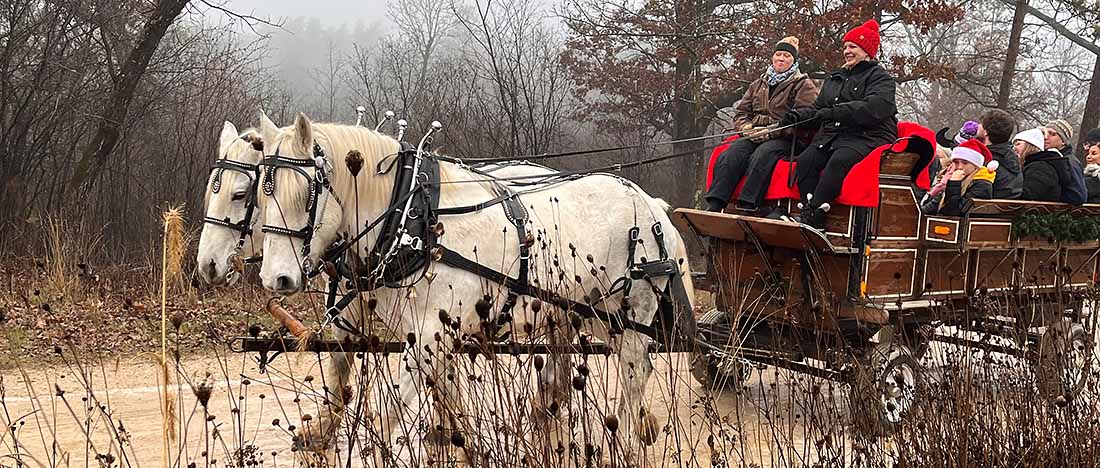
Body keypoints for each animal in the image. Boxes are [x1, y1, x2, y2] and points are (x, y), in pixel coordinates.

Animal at [255, 112, 695, 462]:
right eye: (262, 194)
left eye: (307, 194)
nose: (276, 278)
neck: (414, 220)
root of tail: (652, 205)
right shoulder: (433, 339)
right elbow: (445, 400)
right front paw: (468, 448)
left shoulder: (428, 337)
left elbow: (385, 416)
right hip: (577, 311)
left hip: (629, 315)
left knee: (635, 374)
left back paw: (627, 445)